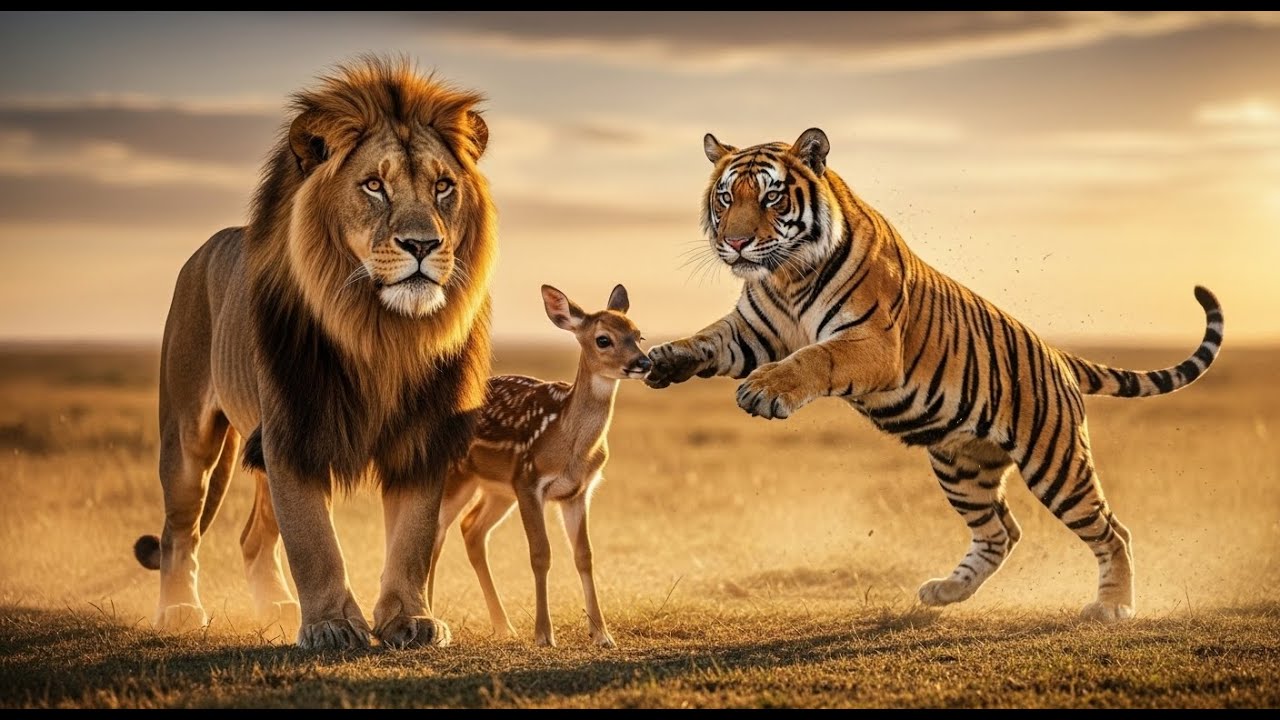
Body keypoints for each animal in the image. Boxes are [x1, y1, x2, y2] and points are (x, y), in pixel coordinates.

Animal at [131, 55, 498, 650]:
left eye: (443, 187)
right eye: (373, 185)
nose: (423, 245)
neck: (381, 331)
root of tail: (210, 243)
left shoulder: (423, 434)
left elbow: (414, 536)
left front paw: (410, 620)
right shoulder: (292, 433)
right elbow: (313, 540)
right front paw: (331, 625)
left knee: (252, 536)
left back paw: (277, 606)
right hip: (188, 435)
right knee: (178, 530)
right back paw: (180, 609)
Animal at [427, 283, 651, 648]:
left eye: (637, 334)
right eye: (603, 339)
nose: (643, 363)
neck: (569, 444)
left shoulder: (577, 492)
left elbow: (584, 555)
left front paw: (602, 634)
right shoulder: (529, 480)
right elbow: (540, 554)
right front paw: (544, 635)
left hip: (497, 489)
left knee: (471, 529)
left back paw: (503, 626)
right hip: (457, 477)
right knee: (435, 534)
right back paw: (431, 619)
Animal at [644, 127, 1224, 622]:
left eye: (771, 198)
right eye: (725, 198)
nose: (737, 243)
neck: (787, 275)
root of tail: (1057, 354)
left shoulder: (875, 344)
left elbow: (813, 359)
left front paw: (765, 390)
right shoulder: (752, 333)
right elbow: (706, 340)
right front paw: (664, 358)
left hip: (1056, 462)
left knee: (1111, 531)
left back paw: (1113, 606)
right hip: (959, 465)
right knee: (1000, 533)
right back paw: (946, 591)